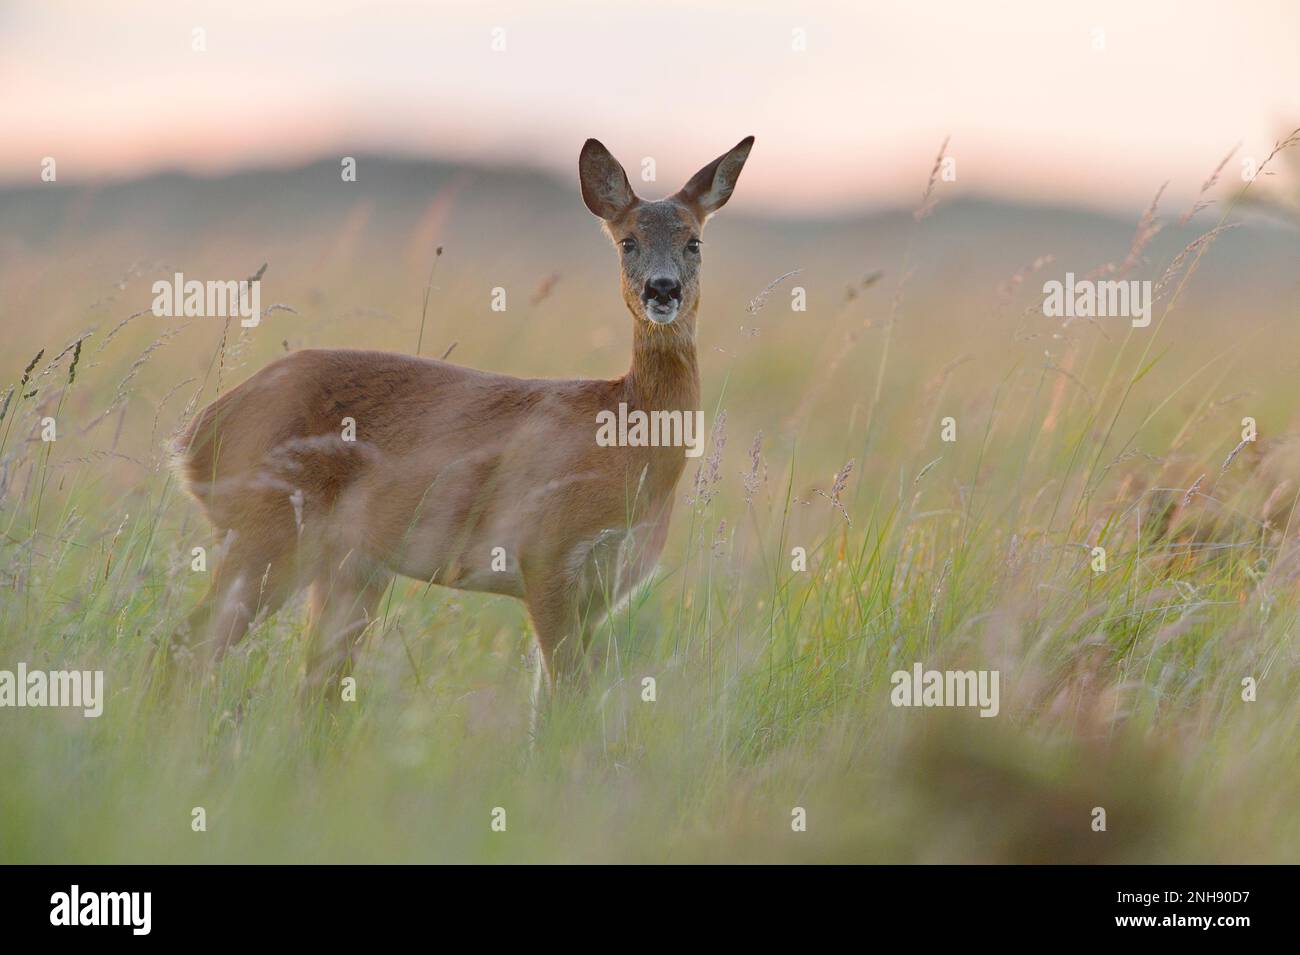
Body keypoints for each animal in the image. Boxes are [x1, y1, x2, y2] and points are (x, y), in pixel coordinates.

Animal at [178, 138, 759, 712]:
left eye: (694, 242)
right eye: (628, 242)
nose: (662, 290)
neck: (626, 444)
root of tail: (193, 440)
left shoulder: (602, 591)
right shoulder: (544, 553)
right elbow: (564, 698)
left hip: (350, 563)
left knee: (313, 681)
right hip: (269, 532)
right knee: (189, 640)